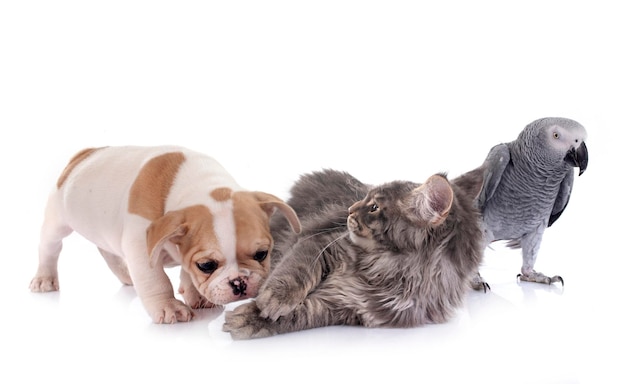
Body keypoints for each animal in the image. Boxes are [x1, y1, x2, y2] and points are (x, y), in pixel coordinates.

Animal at [29, 146, 300, 322]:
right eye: (207, 265)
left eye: (262, 254)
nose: (239, 282)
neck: (200, 187)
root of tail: (84, 153)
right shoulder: (140, 246)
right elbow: (156, 280)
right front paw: (169, 307)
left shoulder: (186, 251)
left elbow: (186, 273)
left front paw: (194, 294)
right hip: (57, 219)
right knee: (50, 248)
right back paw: (44, 279)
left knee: (108, 251)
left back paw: (126, 276)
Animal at [222, 168, 486, 340]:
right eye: (365, 199)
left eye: (374, 207)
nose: (350, 209)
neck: (386, 270)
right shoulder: (321, 243)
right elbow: (296, 272)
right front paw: (274, 299)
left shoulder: (344, 309)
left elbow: (300, 315)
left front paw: (249, 319)